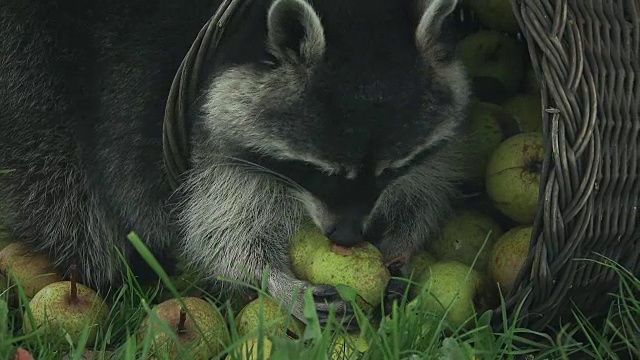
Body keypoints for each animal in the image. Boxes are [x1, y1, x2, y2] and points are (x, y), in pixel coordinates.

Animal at [0, 0, 470, 326]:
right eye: (317, 172)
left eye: (390, 170)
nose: (348, 238)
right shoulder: (210, 146)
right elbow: (218, 230)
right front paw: (270, 279)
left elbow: (425, 191)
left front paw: (402, 246)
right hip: (31, 75)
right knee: (63, 194)